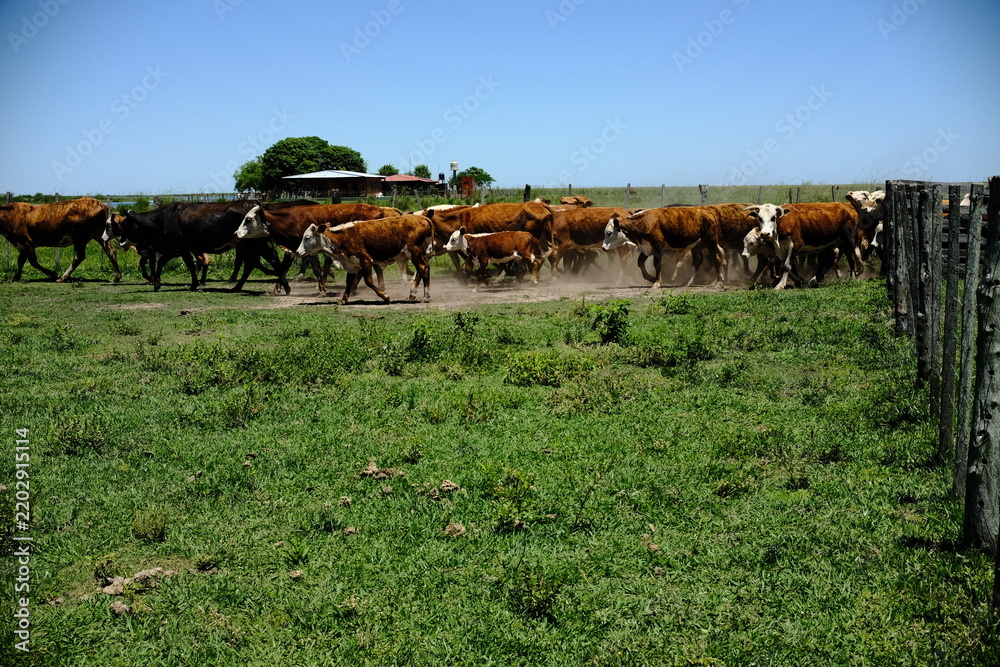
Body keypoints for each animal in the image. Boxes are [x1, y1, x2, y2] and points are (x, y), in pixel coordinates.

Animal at [236, 202, 404, 295]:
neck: (289, 220)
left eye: (248, 219)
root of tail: (380, 209)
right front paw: (281, 288)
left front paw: (321, 290)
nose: (236, 233)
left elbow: (313, 269)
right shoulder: (296, 249)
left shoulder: (306, 249)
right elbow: (287, 267)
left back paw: (356, 287)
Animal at [294, 214, 432, 305]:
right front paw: (343, 300)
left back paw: (424, 297)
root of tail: (421, 218)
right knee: (423, 269)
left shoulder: (365, 260)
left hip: (414, 252)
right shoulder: (351, 264)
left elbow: (368, 281)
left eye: (307, 237)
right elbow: (349, 282)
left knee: (423, 268)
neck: (342, 237)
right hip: (416, 254)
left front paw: (385, 297)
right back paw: (413, 294)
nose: (297, 252)